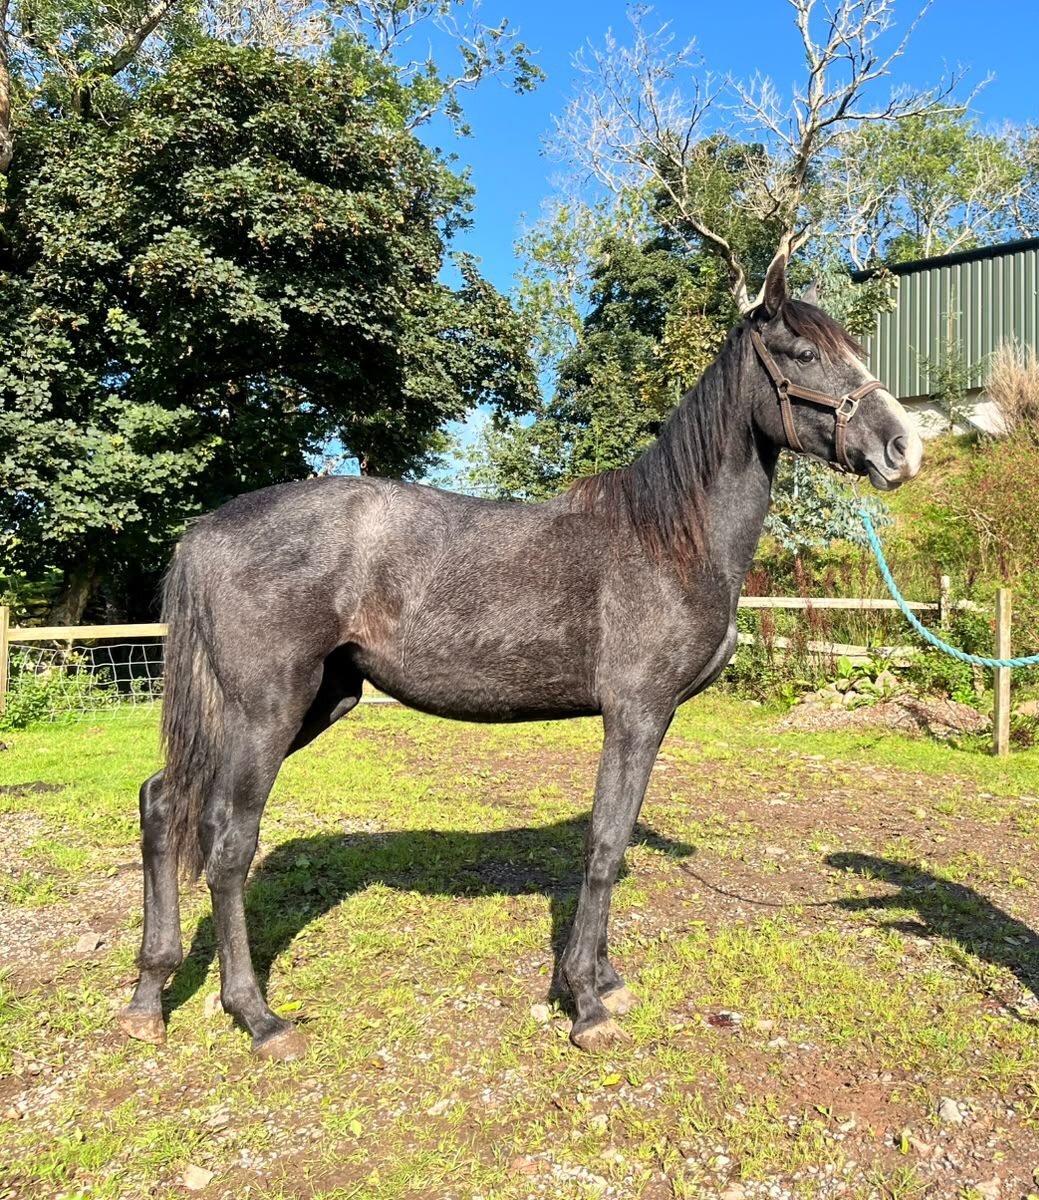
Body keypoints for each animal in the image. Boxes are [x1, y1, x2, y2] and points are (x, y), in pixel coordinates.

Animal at [117, 255, 922, 1060]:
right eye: (803, 354)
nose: (903, 448)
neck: (668, 540)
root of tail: (205, 530)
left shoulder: (653, 719)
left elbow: (614, 841)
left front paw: (605, 981)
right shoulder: (633, 714)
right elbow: (603, 844)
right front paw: (584, 1003)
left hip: (316, 700)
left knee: (162, 801)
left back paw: (149, 997)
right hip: (268, 706)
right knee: (227, 840)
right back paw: (257, 1017)